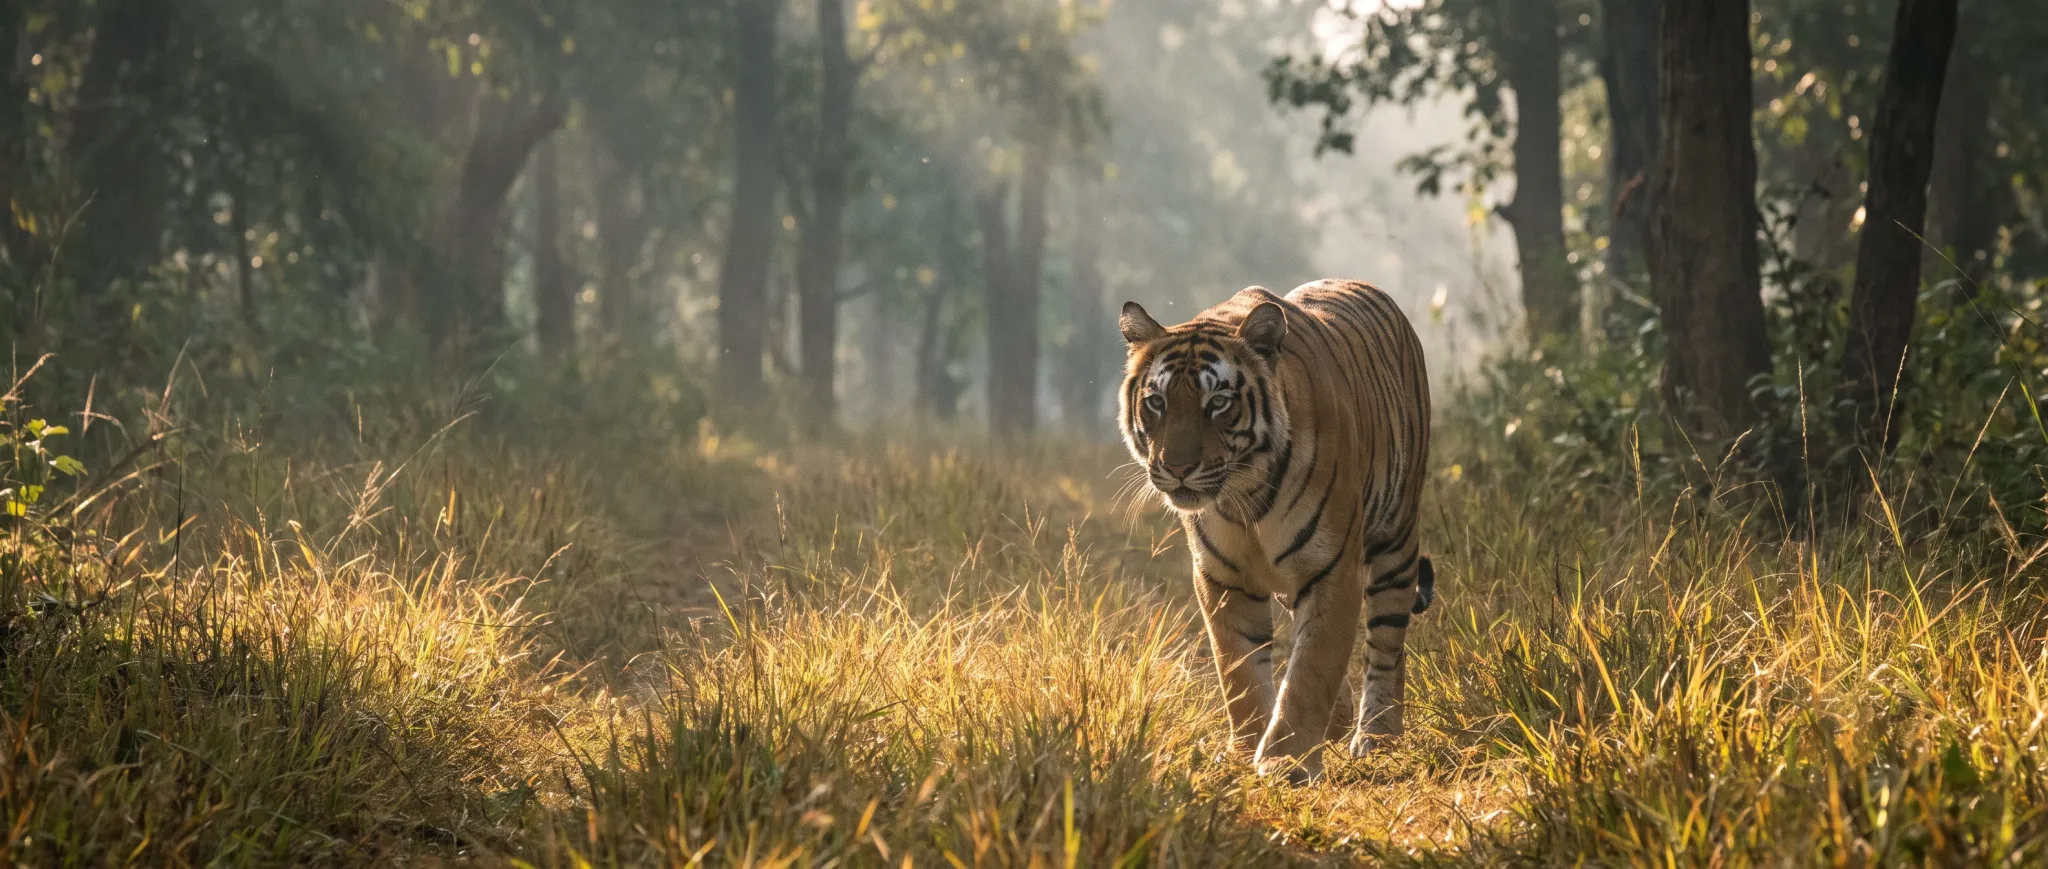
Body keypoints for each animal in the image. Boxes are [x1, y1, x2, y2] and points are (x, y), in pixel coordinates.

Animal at [1116, 279, 1433, 783]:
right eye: (1157, 402)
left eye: (1218, 403)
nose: (1177, 468)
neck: (1242, 496)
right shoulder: (1222, 579)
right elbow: (1240, 671)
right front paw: (1245, 752)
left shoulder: (1333, 570)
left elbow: (1312, 667)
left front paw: (1287, 762)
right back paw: (1340, 722)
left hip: (1396, 540)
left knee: (1386, 642)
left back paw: (1377, 735)